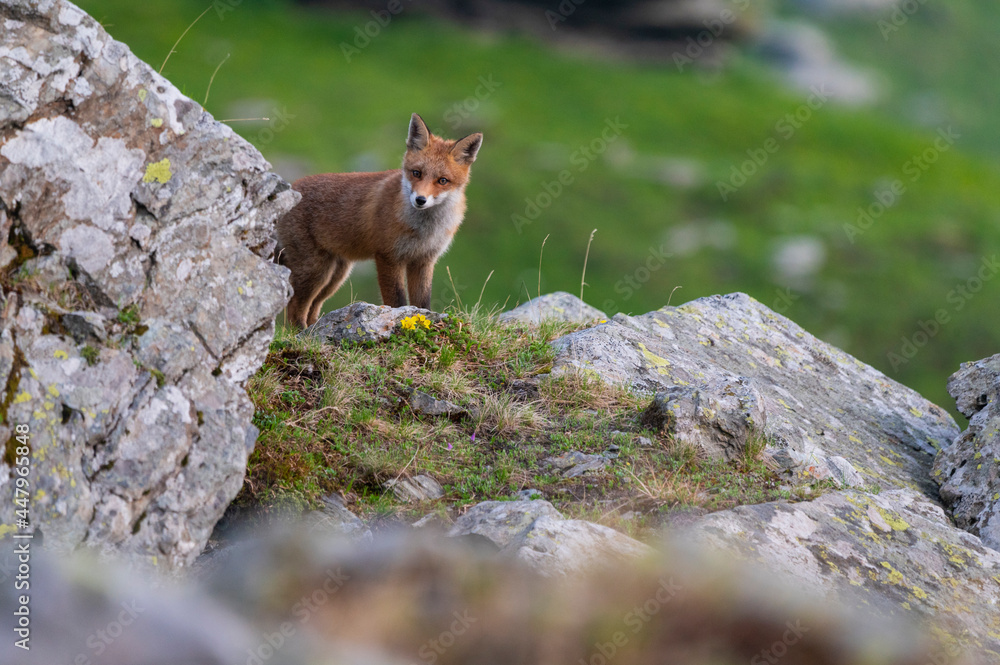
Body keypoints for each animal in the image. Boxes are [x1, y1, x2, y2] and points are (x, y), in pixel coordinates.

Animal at [275, 113, 483, 329]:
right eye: (416, 173)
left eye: (442, 180)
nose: (420, 200)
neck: (424, 229)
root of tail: (289, 189)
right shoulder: (388, 256)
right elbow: (396, 301)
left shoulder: (423, 260)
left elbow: (423, 302)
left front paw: (425, 321)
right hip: (315, 271)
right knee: (295, 306)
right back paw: (300, 332)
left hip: (335, 275)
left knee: (313, 306)